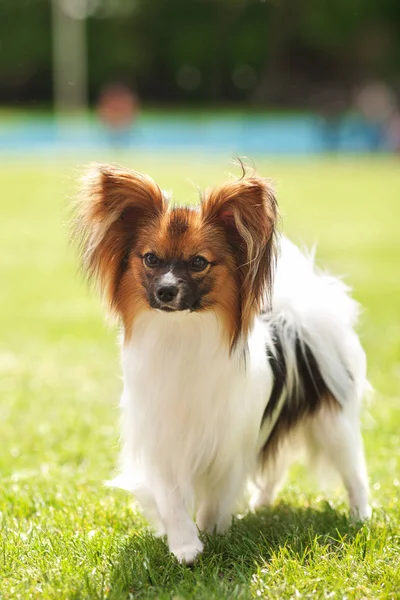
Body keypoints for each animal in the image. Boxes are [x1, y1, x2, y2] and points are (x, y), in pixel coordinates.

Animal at [73, 161, 370, 564]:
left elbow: (215, 500)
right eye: (151, 259)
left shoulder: (229, 445)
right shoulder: (161, 439)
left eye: (199, 262)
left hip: (333, 425)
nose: (166, 291)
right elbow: (170, 498)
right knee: (275, 469)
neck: (182, 333)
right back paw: (261, 504)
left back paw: (360, 516)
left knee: (354, 472)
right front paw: (184, 545)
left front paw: (211, 534)